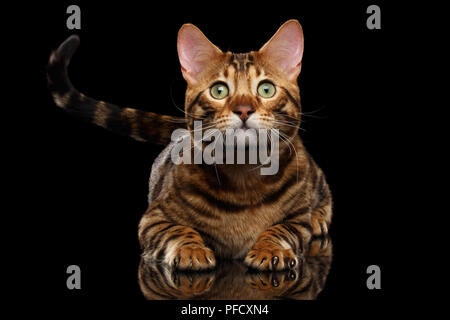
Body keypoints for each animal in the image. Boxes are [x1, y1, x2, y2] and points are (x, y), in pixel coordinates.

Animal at [48, 19, 330, 270]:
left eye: (266, 89)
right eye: (219, 91)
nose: (243, 109)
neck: (243, 176)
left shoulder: (297, 220)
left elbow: (282, 229)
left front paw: (270, 249)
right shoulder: (153, 218)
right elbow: (178, 230)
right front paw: (191, 250)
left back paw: (318, 216)